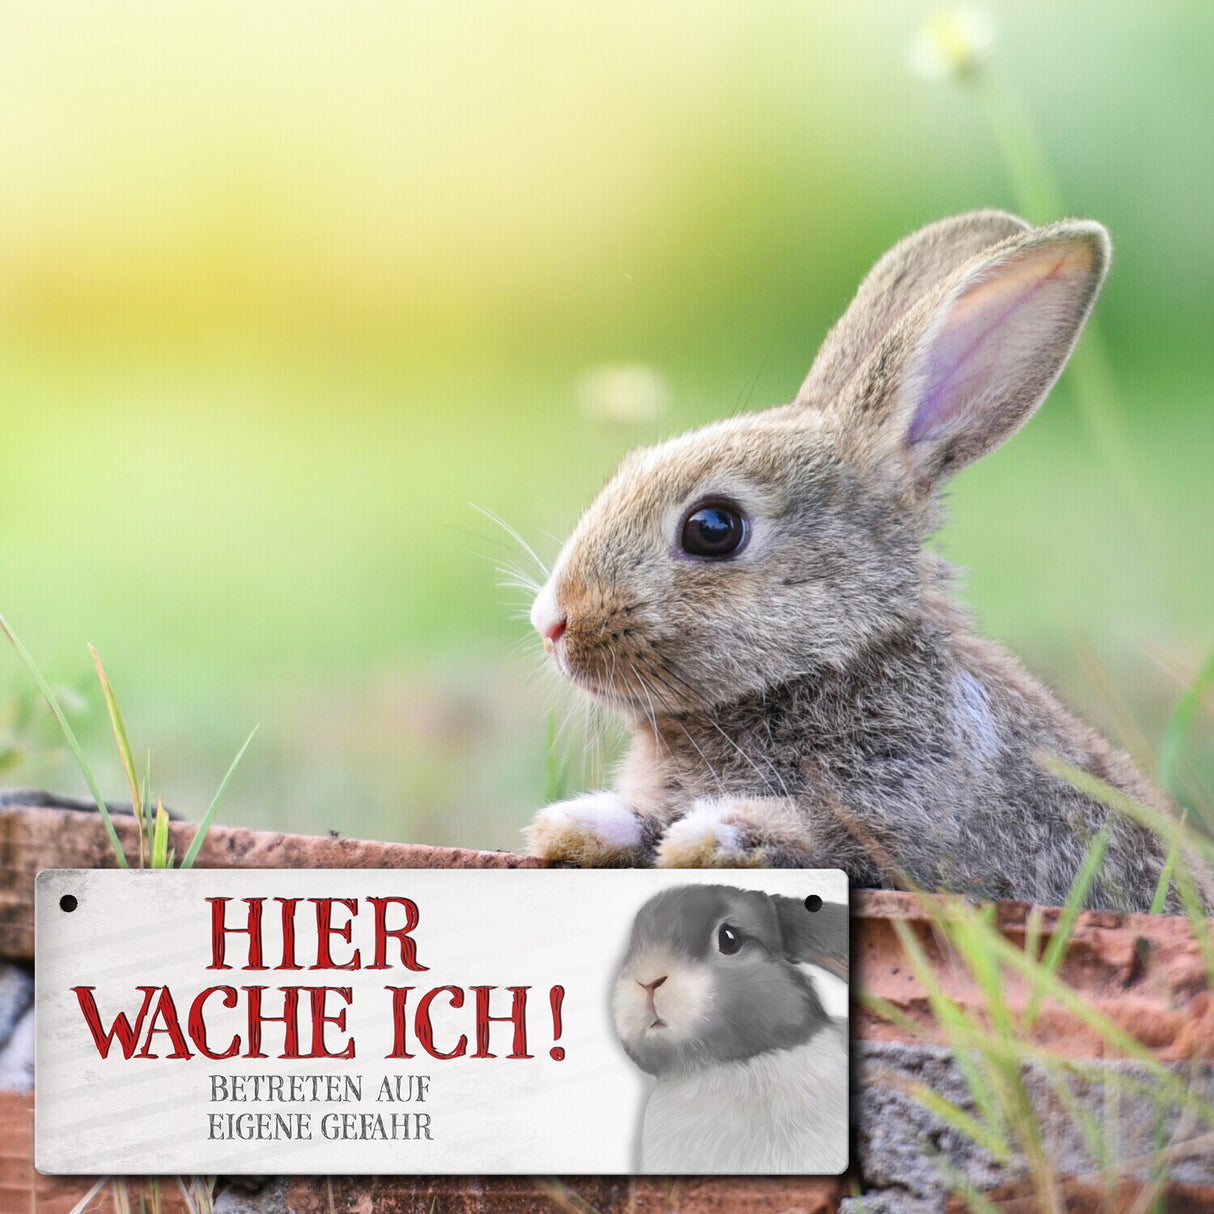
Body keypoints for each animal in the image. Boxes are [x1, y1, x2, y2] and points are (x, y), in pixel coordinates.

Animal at [524, 209, 1182, 912]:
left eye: (713, 528)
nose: (552, 622)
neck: (828, 663)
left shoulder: (905, 816)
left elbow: (823, 837)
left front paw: (715, 836)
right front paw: (578, 825)